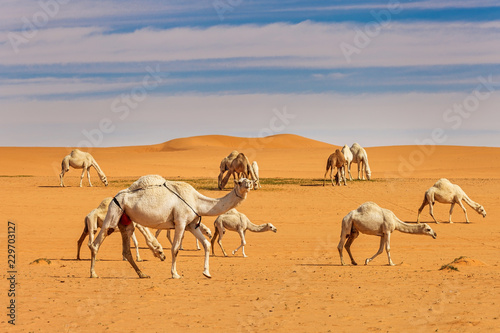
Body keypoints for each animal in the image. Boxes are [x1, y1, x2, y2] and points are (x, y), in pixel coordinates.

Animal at [89, 174, 254, 278]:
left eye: (248, 180)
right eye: (240, 181)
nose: (250, 184)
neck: (196, 201)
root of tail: (115, 196)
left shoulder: (191, 225)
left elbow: (206, 244)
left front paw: (206, 273)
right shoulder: (180, 221)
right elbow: (175, 248)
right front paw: (175, 274)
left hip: (126, 220)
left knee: (126, 247)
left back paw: (142, 274)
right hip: (113, 212)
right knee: (97, 242)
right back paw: (93, 273)